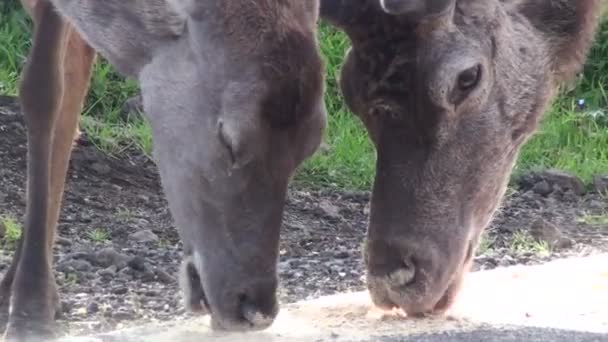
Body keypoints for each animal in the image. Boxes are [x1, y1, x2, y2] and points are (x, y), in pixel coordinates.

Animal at [1, 0, 328, 340]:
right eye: (229, 140)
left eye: (311, 145)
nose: (255, 309)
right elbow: (43, 91)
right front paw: (29, 313)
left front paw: (32, 306)